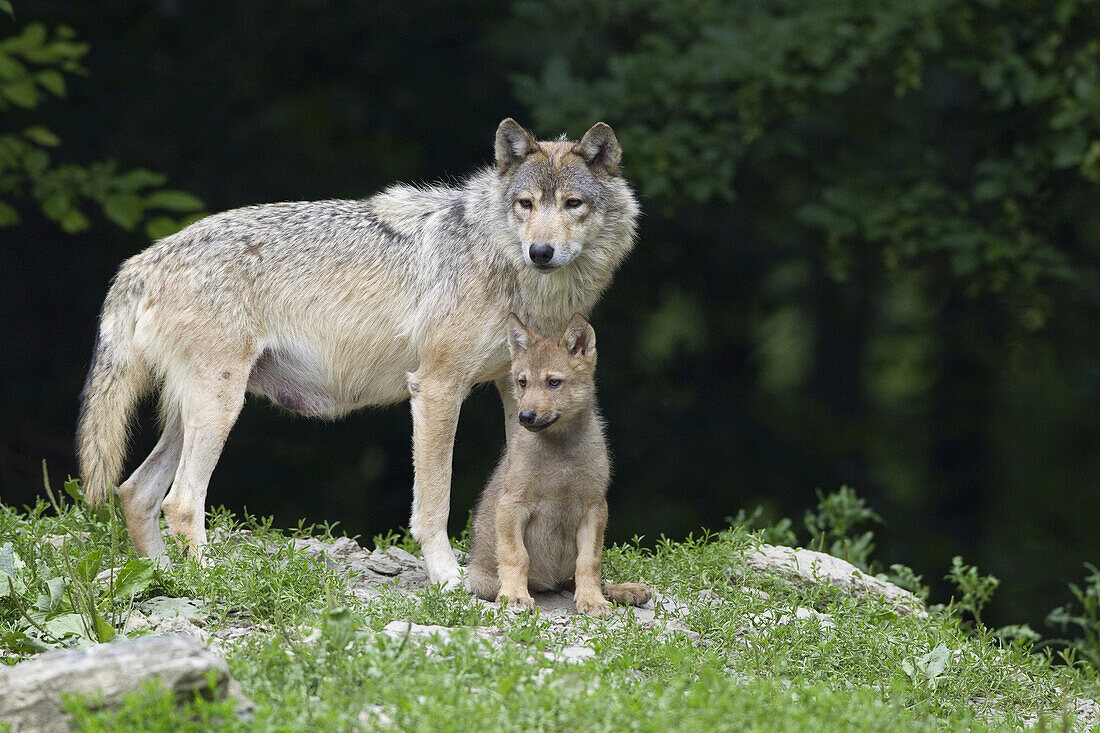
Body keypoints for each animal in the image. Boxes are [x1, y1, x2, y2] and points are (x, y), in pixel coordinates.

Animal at [77, 121, 642, 589]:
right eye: (525, 204)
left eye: (572, 204)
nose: (540, 252)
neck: (504, 263)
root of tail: (143, 260)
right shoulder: (437, 388)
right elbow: (434, 502)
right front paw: (448, 578)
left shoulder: (514, 392)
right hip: (219, 406)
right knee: (180, 501)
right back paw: (210, 578)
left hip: (196, 411)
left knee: (136, 492)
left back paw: (163, 576)